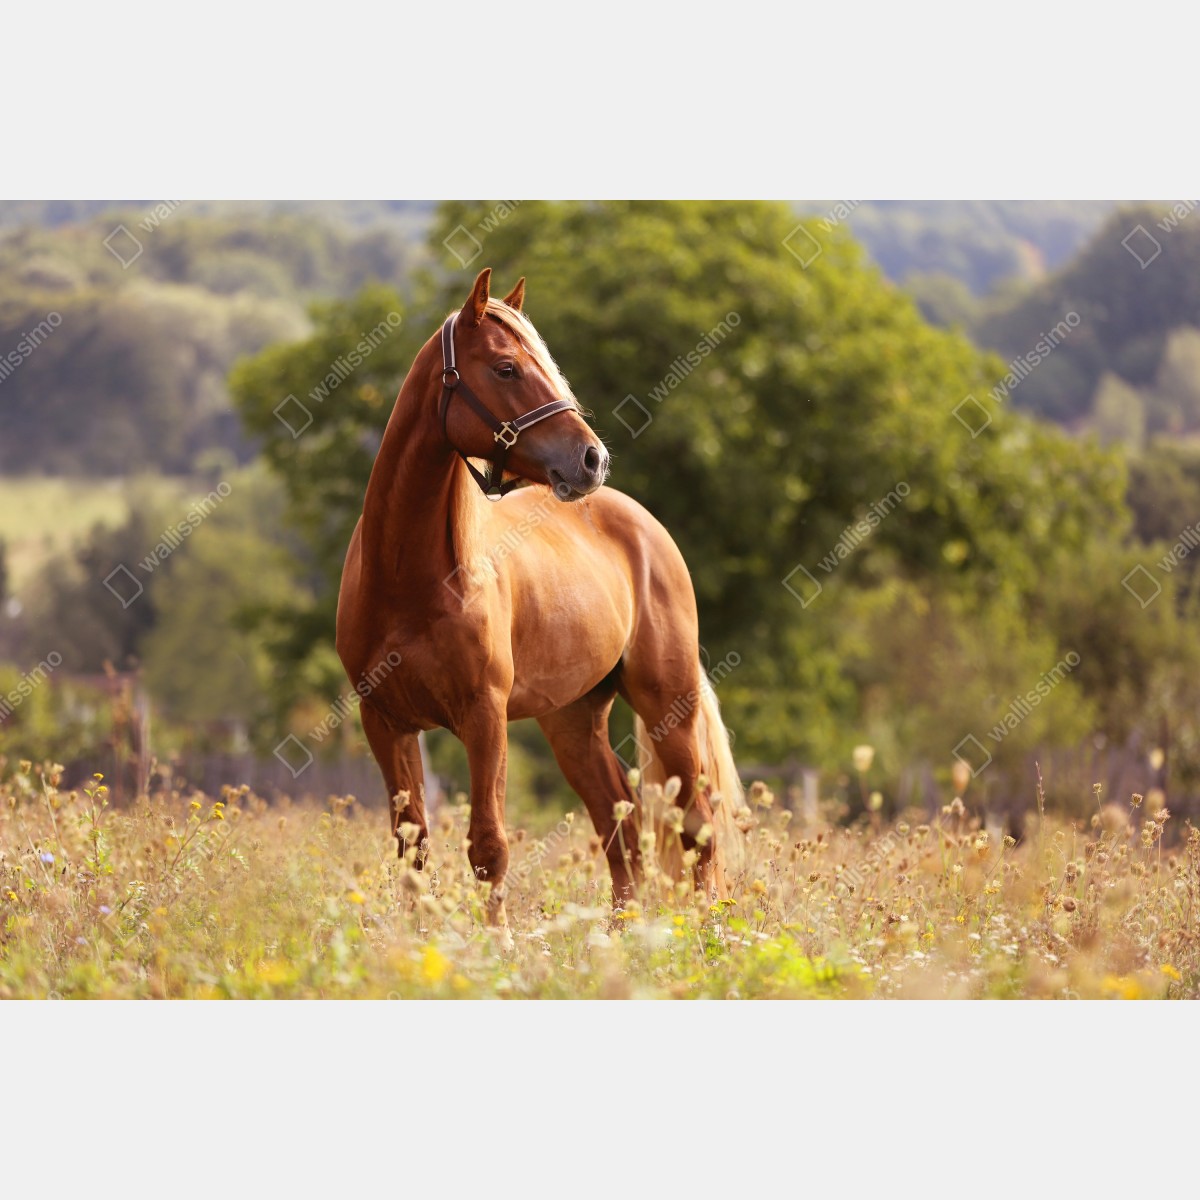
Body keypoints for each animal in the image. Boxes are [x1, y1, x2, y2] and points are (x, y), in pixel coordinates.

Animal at [335, 268, 743, 938]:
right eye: (505, 368)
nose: (592, 458)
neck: (410, 581)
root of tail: (643, 525)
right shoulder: (385, 721)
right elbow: (412, 845)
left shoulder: (484, 717)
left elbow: (488, 845)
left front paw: (496, 944)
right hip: (573, 720)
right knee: (620, 825)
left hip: (669, 705)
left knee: (696, 823)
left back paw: (709, 932)